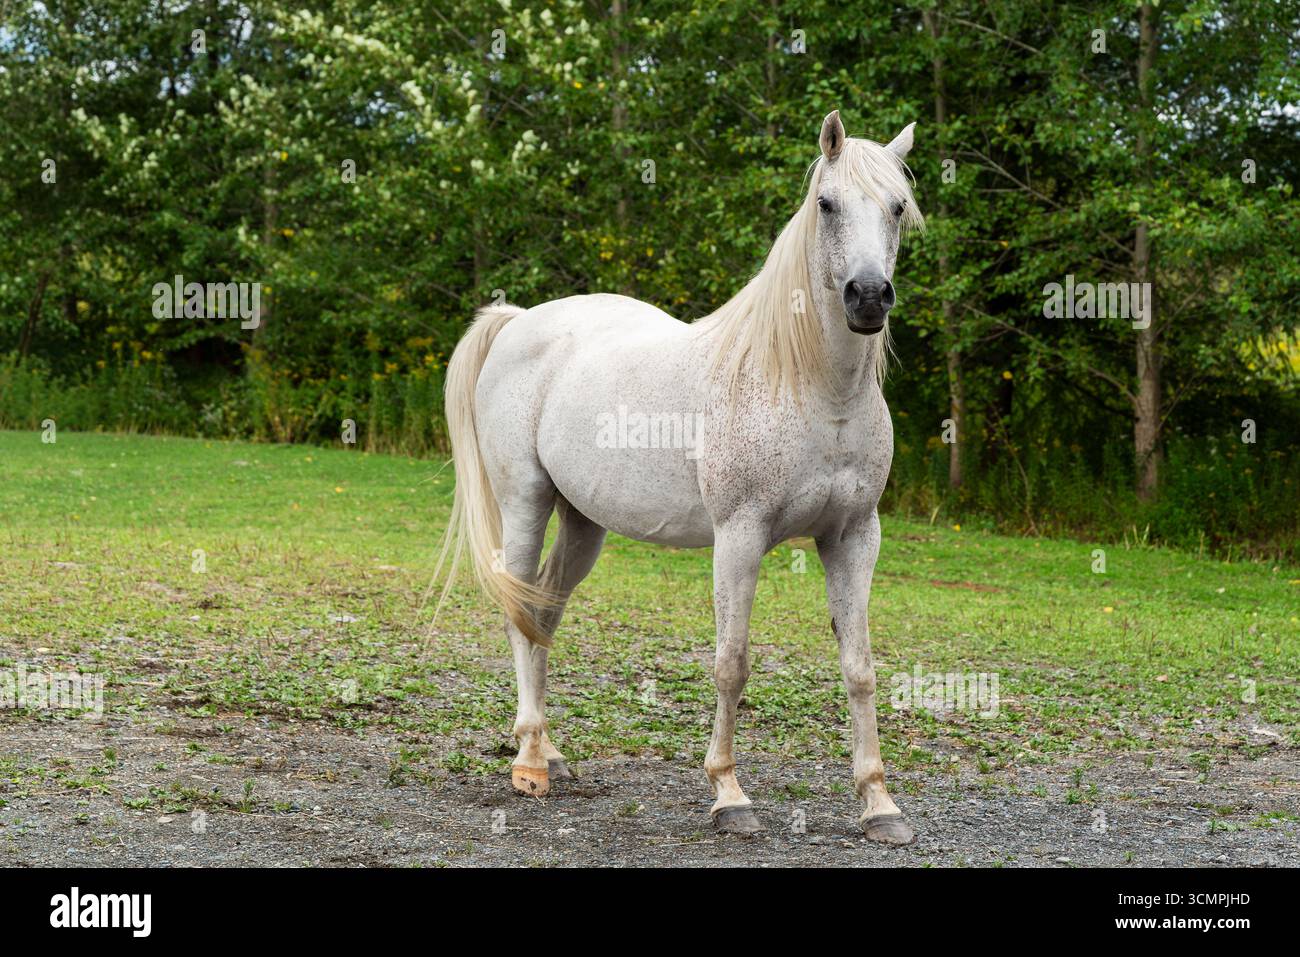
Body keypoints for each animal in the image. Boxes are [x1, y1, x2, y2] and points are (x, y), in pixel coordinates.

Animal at [435, 110, 924, 844]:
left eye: (897, 207)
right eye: (827, 203)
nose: (867, 298)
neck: (810, 385)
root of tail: (520, 321)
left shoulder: (853, 537)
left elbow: (860, 670)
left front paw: (879, 804)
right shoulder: (740, 536)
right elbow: (731, 663)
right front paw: (728, 794)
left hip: (584, 524)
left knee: (545, 609)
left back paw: (550, 748)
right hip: (526, 501)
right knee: (520, 614)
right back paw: (528, 764)